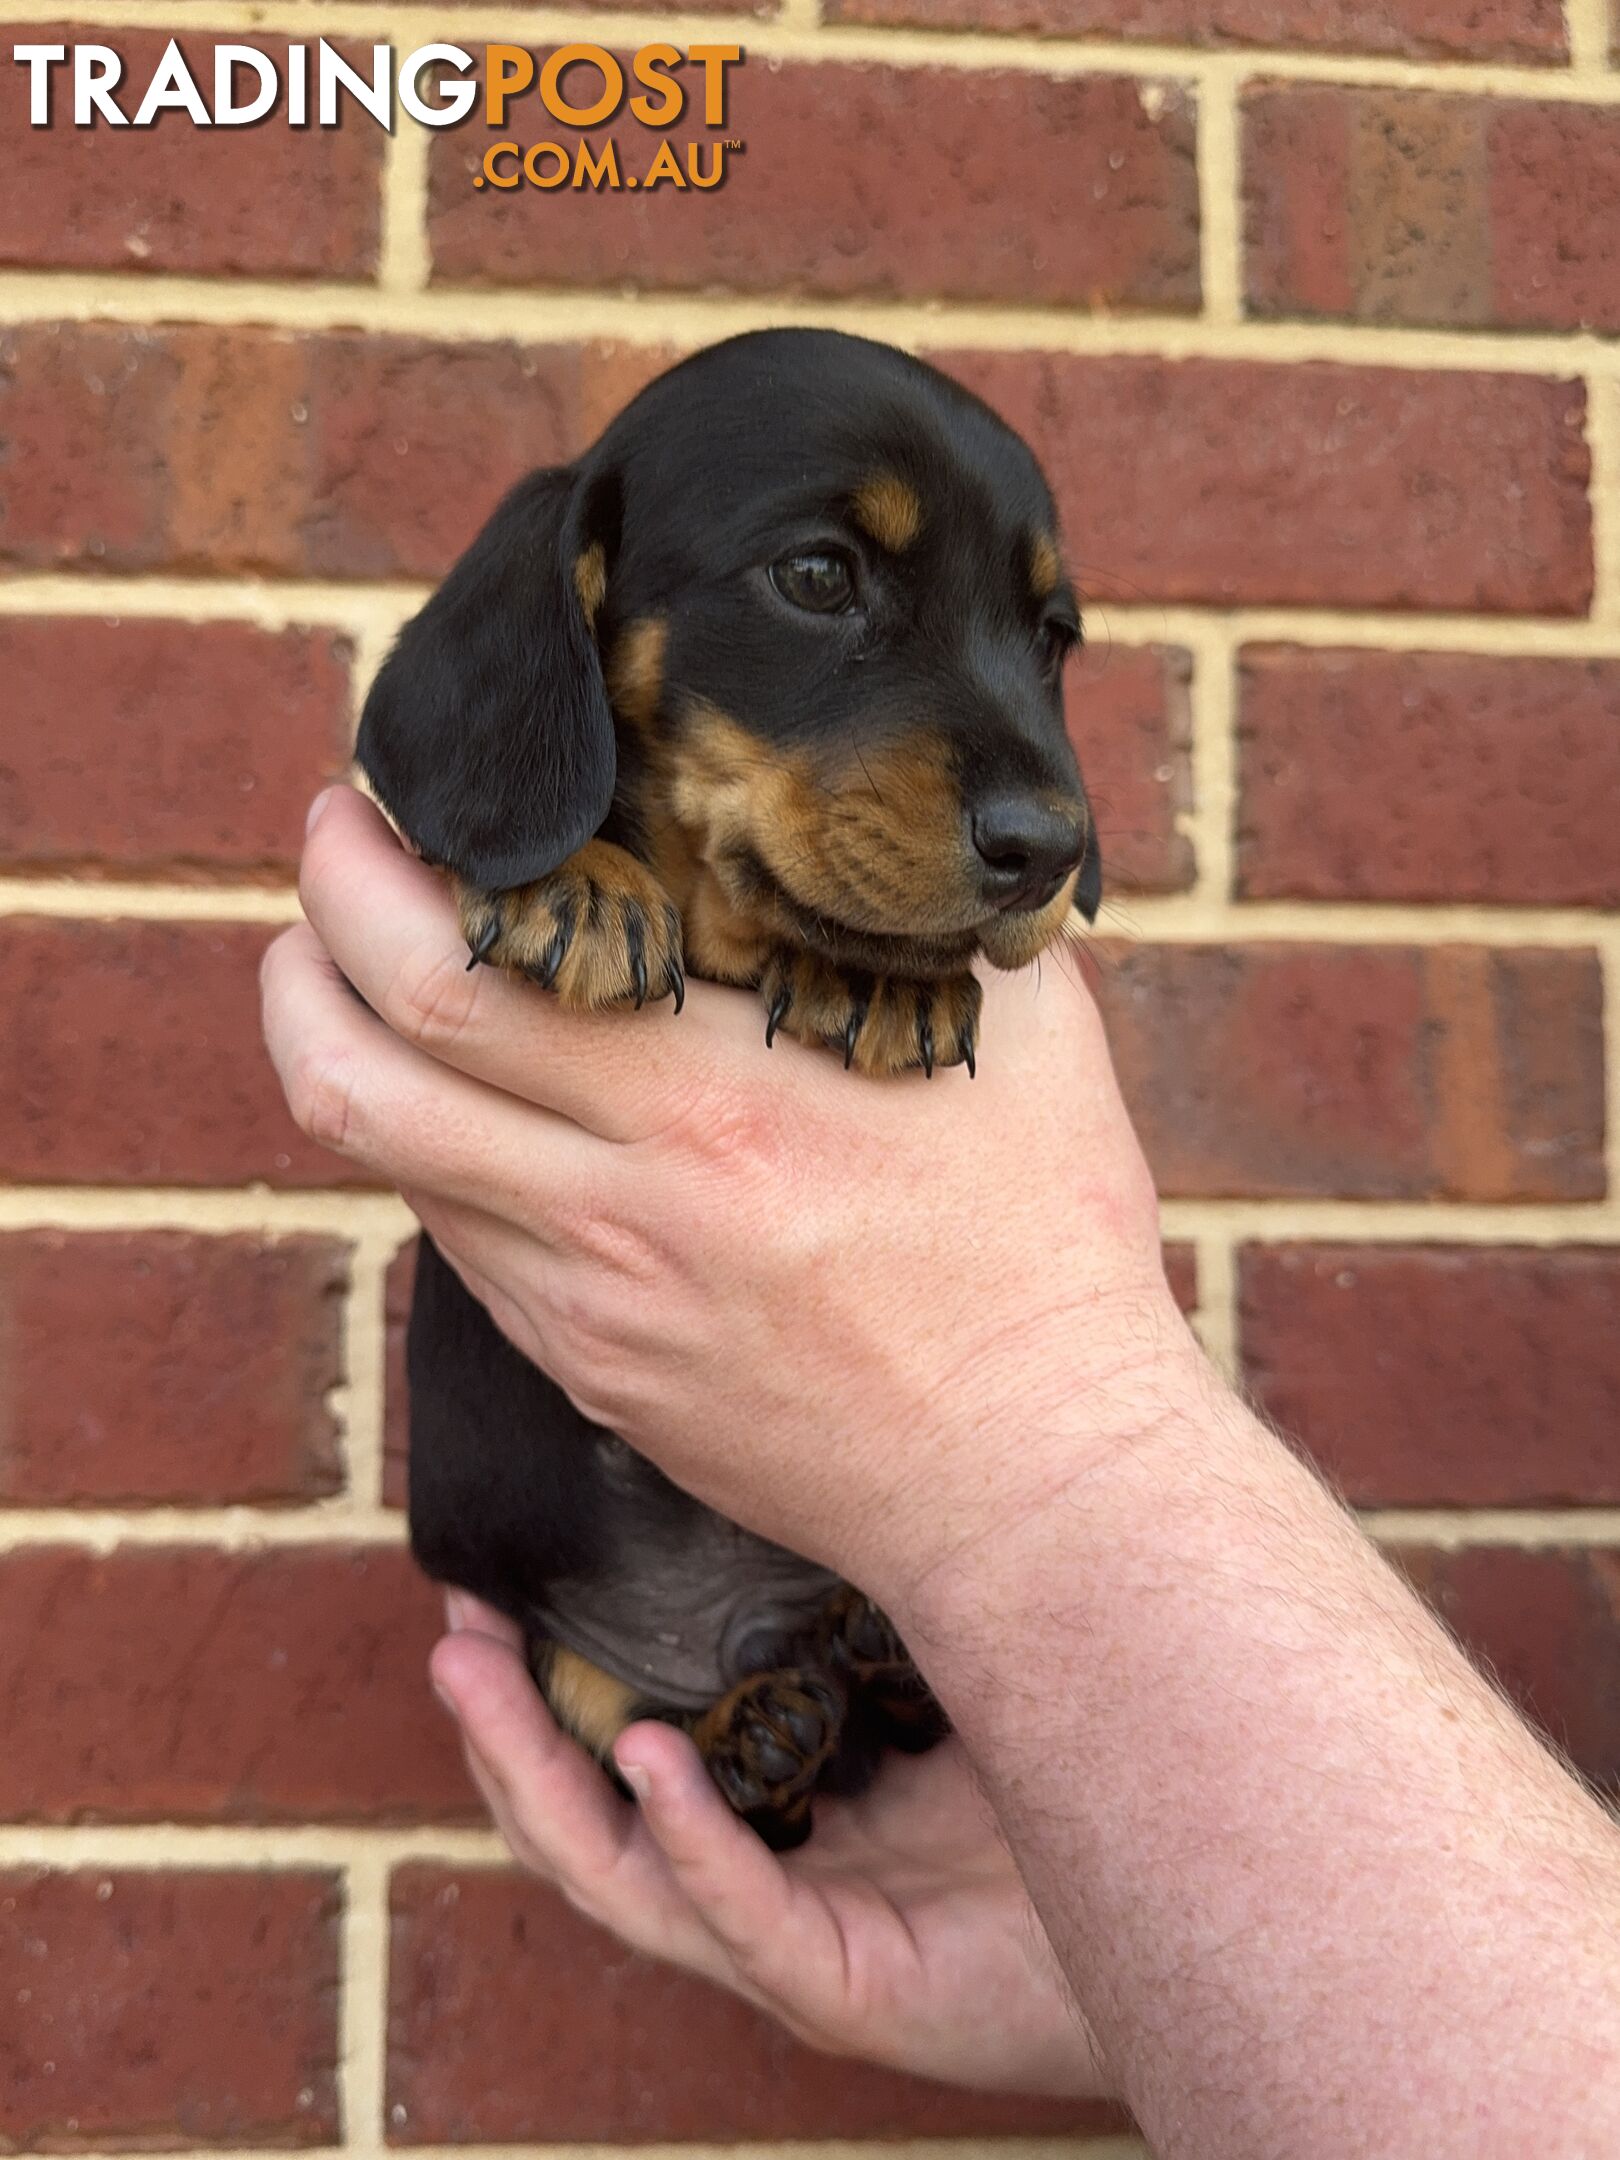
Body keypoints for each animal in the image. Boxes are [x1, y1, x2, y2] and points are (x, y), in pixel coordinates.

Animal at [360, 328, 1097, 1848]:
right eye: (818, 576)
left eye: (1053, 638)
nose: (1054, 852)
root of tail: (752, 1628)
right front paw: (573, 881)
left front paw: (884, 975)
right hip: (565, 1658)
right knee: (664, 1742)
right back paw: (764, 1723)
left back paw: (867, 1657)